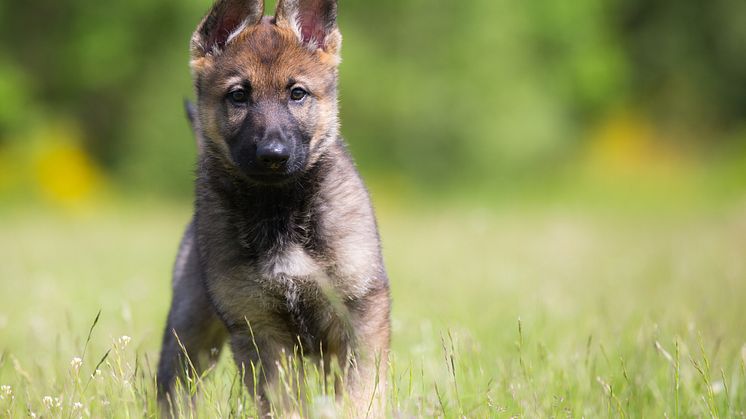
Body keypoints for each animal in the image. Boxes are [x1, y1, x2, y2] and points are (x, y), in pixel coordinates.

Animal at [157, 0, 390, 416]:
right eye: (238, 96)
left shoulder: (360, 316)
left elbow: (362, 394)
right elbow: (282, 403)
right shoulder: (260, 331)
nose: (273, 155)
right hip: (189, 332)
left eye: (297, 93)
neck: (279, 208)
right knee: (176, 388)